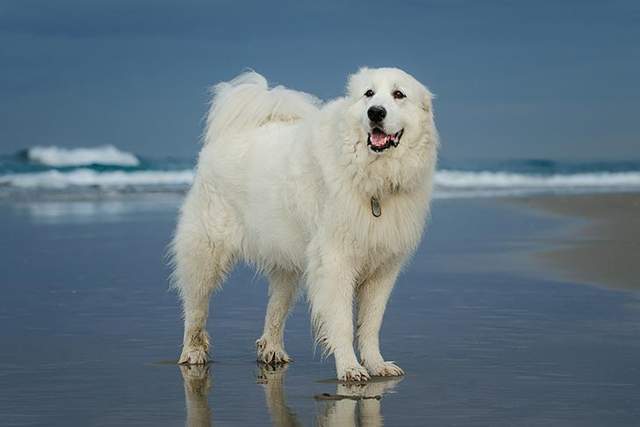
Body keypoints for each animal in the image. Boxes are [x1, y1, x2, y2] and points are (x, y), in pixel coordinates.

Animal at [171, 67, 440, 382]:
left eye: (399, 95)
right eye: (369, 94)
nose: (375, 112)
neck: (372, 178)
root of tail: (228, 135)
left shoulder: (383, 269)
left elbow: (371, 324)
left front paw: (377, 365)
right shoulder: (336, 262)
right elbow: (342, 322)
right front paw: (349, 368)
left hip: (286, 264)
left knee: (275, 310)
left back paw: (271, 351)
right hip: (206, 253)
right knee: (196, 306)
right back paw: (193, 352)